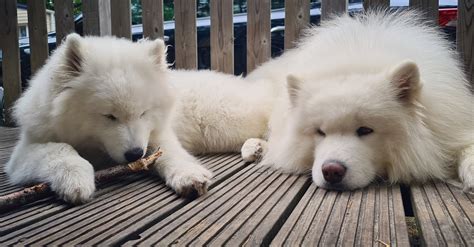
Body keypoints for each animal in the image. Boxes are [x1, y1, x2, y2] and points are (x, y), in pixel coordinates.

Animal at [5, 34, 211, 205]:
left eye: (143, 113)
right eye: (109, 116)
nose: (136, 154)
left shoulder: (158, 134)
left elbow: (169, 152)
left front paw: (189, 175)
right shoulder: (25, 151)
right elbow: (60, 148)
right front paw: (75, 180)